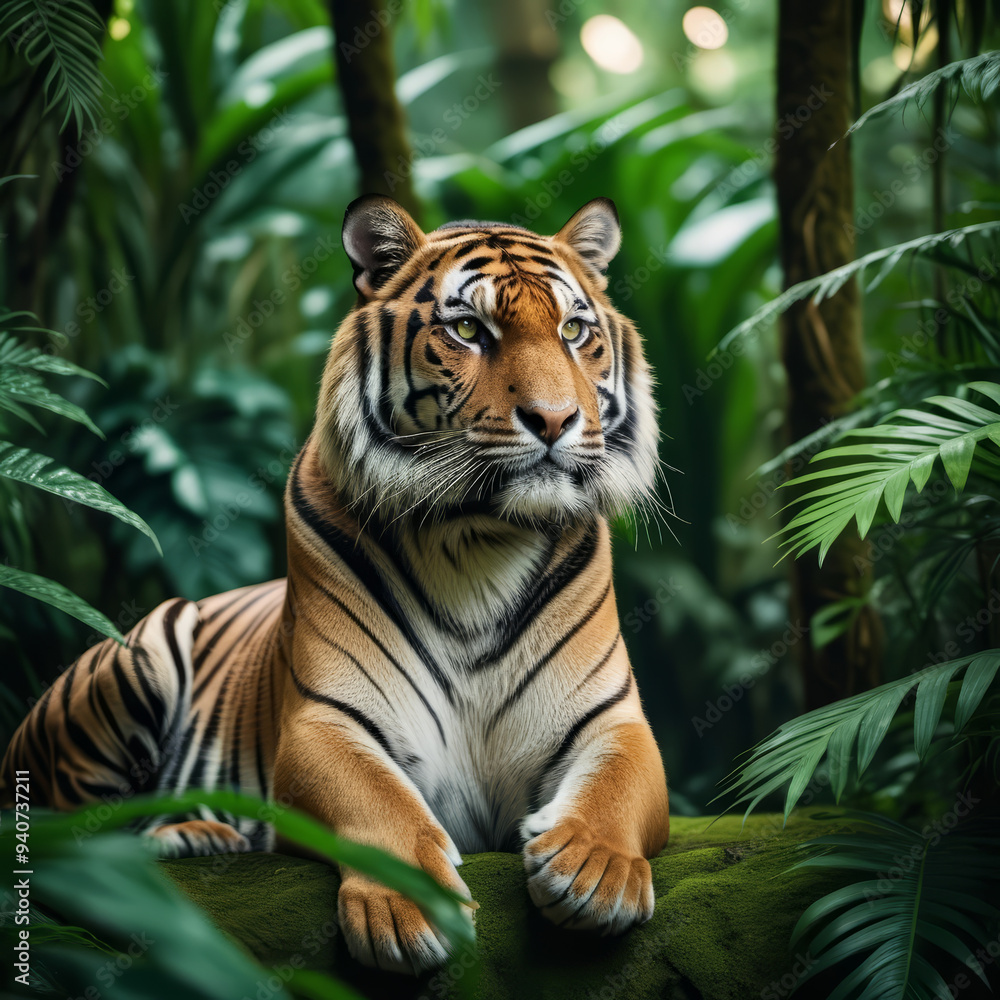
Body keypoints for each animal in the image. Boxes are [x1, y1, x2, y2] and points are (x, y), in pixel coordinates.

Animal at [0, 195, 671, 975]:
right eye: (469, 329)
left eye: (573, 330)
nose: (556, 421)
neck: (480, 538)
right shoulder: (326, 721)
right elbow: (380, 804)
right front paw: (411, 909)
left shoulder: (612, 719)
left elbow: (614, 790)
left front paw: (594, 873)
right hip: (137, 658)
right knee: (79, 839)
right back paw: (193, 836)